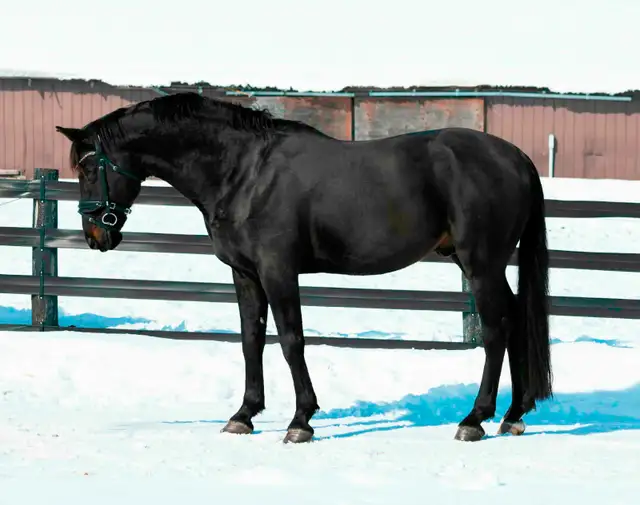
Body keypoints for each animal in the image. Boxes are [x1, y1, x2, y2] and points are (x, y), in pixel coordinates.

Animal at [55, 91, 552, 444]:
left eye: (88, 168)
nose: (95, 235)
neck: (244, 172)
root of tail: (516, 157)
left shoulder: (278, 270)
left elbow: (292, 341)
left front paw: (301, 420)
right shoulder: (245, 274)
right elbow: (251, 340)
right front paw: (244, 415)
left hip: (481, 263)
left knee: (496, 329)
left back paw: (476, 418)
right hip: (483, 265)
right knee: (514, 318)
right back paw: (514, 415)